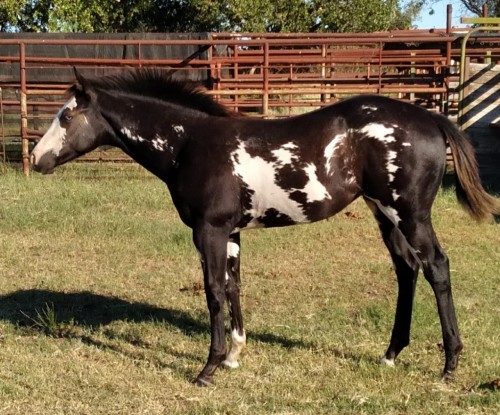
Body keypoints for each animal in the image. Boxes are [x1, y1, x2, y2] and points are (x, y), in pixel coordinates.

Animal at [31, 70, 500, 386]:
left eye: (66, 117)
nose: (36, 158)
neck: (190, 143)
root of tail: (430, 118)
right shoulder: (231, 232)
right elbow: (234, 285)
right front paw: (235, 354)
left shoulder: (209, 230)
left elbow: (214, 292)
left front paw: (209, 367)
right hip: (384, 213)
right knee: (407, 269)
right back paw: (390, 354)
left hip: (410, 213)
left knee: (436, 266)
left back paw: (449, 364)